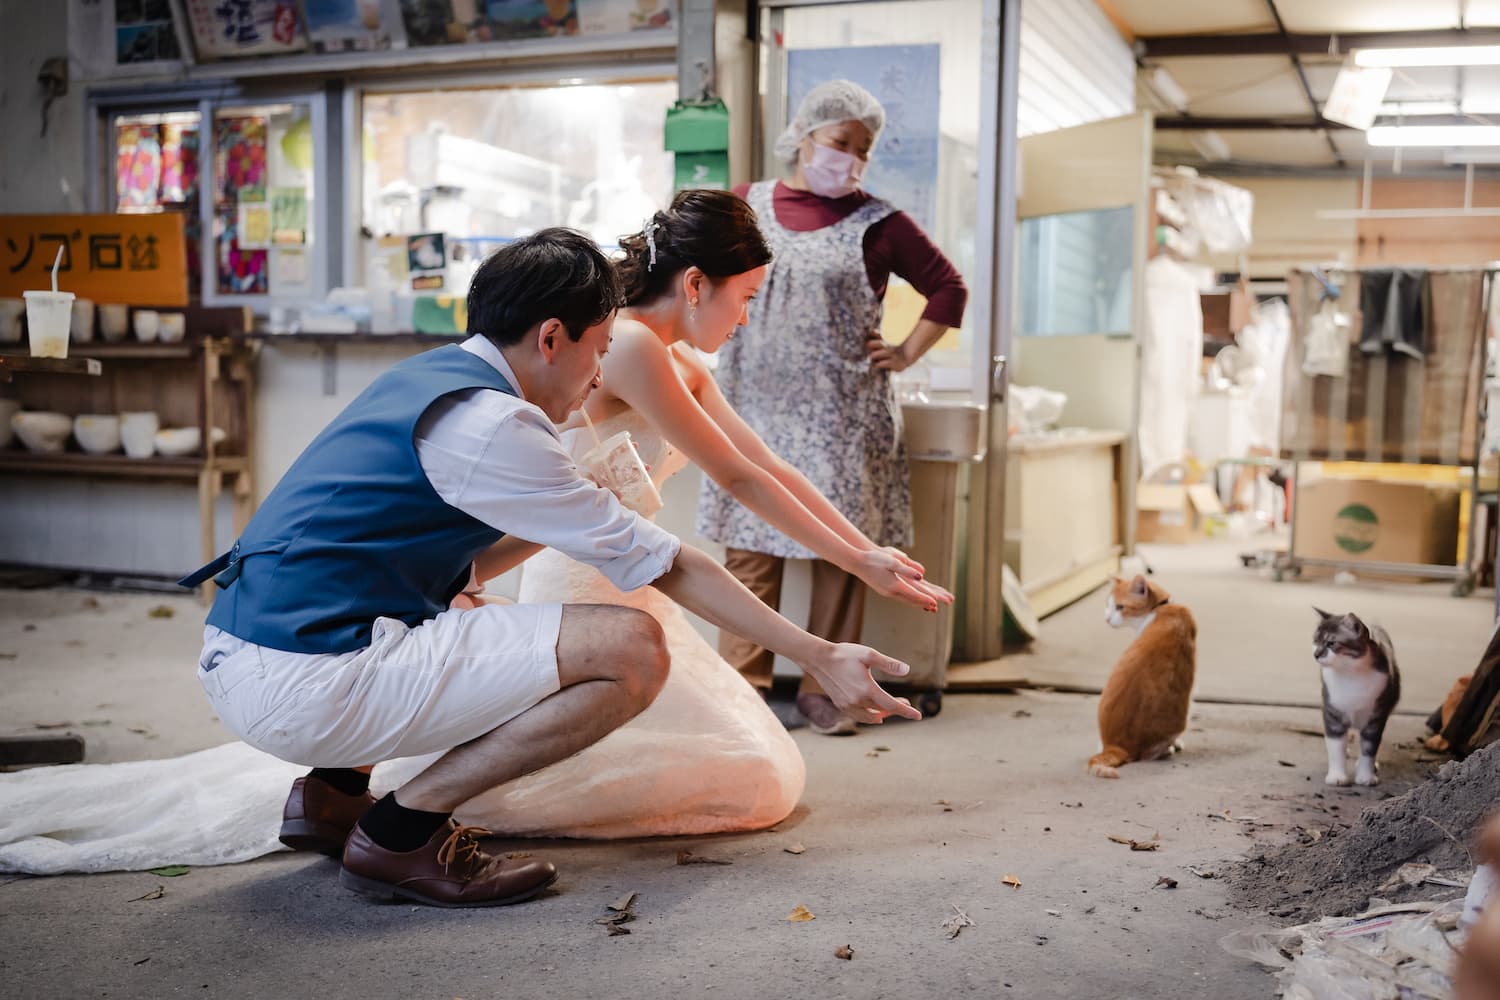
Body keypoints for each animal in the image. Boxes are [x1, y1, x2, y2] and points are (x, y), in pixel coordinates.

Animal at [1092, 575, 1194, 779]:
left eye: (1120, 607)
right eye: (1108, 605)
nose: (1107, 619)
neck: (1161, 608)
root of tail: (1116, 746)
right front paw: (1176, 744)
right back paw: (1167, 749)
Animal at [1320, 611, 1398, 791]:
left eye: (1331, 643)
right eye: (1315, 641)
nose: (1316, 654)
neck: (1350, 674)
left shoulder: (1376, 717)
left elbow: (1369, 748)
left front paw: (1366, 776)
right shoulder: (1332, 713)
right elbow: (1335, 747)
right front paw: (1337, 776)